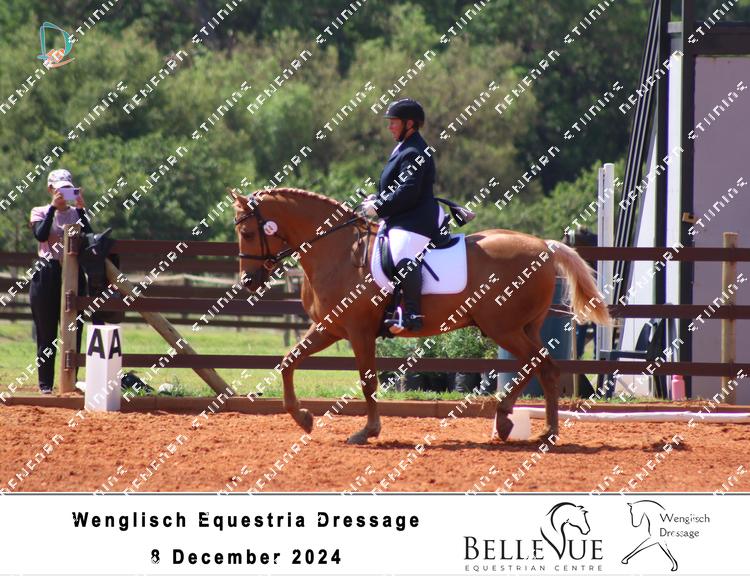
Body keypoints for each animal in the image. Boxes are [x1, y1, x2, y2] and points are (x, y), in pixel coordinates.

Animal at [232, 187, 610, 445]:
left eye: (248, 233)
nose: (248, 282)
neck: (337, 251)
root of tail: (544, 247)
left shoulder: (358, 331)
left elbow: (368, 380)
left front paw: (367, 431)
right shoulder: (329, 328)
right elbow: (288, 361)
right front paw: (303, 418)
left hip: (503, 328)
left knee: (540, 367)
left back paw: (539, 430)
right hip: (522, 327)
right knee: (539, 367)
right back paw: (514, 423)